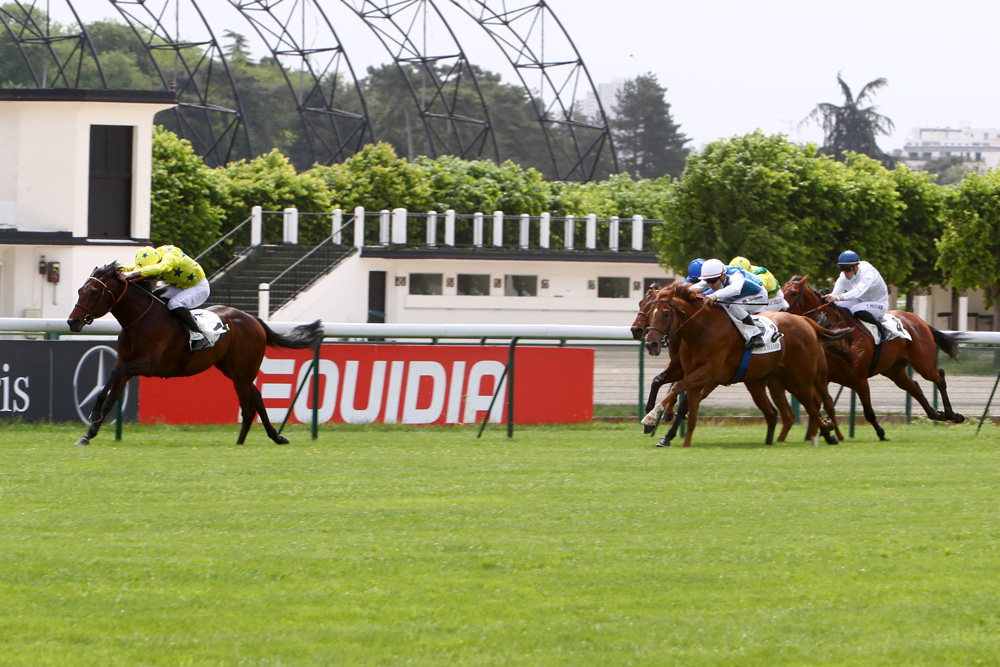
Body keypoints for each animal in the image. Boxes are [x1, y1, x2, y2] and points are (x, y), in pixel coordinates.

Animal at [65, 264, 324, 446]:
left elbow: (111, 379)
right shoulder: (127, 362)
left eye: (94, 292)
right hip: (233, 370)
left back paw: (249, 441)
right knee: (256, 398)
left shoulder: (147, 365)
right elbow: (112, 394)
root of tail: (254, 319)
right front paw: (88, 434)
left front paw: (94, 412)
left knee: (250, 404)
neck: (140, 319)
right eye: (79, 290)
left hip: (242, 371)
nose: (72, 321)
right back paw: (265, 439)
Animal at [640, 282, 852, 448]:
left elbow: (677, 390)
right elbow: (663, 384)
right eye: (650, 311)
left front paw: (652, 418)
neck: (702, 328)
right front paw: (657, 422)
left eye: (666, 313)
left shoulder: (708, 373)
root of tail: (805, 320)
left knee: (814, 405)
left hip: (800, 379)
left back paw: (825, 433)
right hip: (770, 381)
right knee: (782, 412)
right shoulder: (687, 370)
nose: (651, 343)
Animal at [784, 274, 964, 440]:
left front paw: (881, 433)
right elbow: (816, 405)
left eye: (793, 292)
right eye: (782, 289)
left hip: (923, 363)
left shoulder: (859, 379)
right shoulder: (824, 378)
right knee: (915, 387)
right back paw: (937, 414)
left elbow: (868, 412)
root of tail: (918, 319)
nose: (780, 311)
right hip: (894, 370)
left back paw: (952, 414)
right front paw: (822, 432)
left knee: (939, 377)